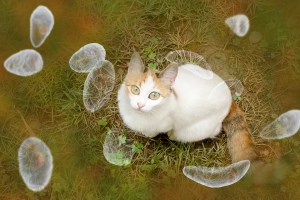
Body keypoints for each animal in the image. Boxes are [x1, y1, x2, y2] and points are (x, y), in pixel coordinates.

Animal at [118, 52, 258, 162]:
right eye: (135, 89)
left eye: (154, 95)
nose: (140, 104)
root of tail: (229, 97)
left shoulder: (167, 123)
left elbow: (156, 131)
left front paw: (150, 134)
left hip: (197, 130)